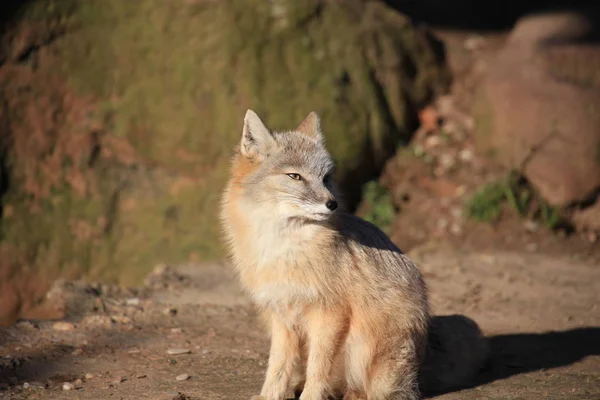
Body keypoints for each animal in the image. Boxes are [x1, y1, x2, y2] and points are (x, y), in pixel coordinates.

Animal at [220, 110, 488, 400]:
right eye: (295, 176)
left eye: (326, 178)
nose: (332, 204)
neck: (283, 249)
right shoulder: (281, 317)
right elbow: (278, 366)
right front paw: (270, 395)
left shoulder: (329, 314)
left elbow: (318, 367)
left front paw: (311, 396)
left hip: (367, 344)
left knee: (374, 392)